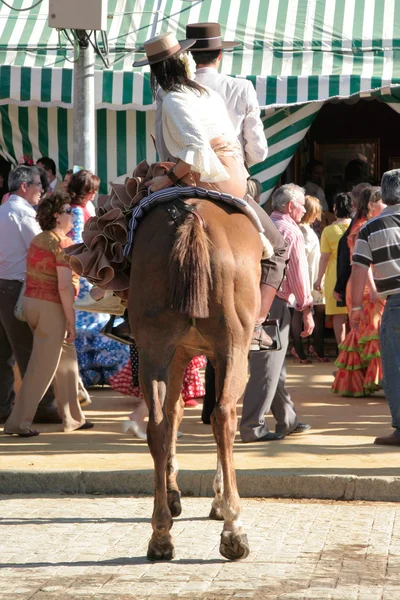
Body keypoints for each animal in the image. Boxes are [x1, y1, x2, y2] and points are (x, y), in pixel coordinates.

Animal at [128, 199, 264, 560]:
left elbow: (173, 413)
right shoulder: (220, 354)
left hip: (154, 350)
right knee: (223, 417)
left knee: (158, 426)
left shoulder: (179, 355)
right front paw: (219, 500)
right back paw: (233, 528)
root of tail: (190, 215)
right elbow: (214, 416)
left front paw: (173, 493)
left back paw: (161, 533)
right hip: (234, 348)